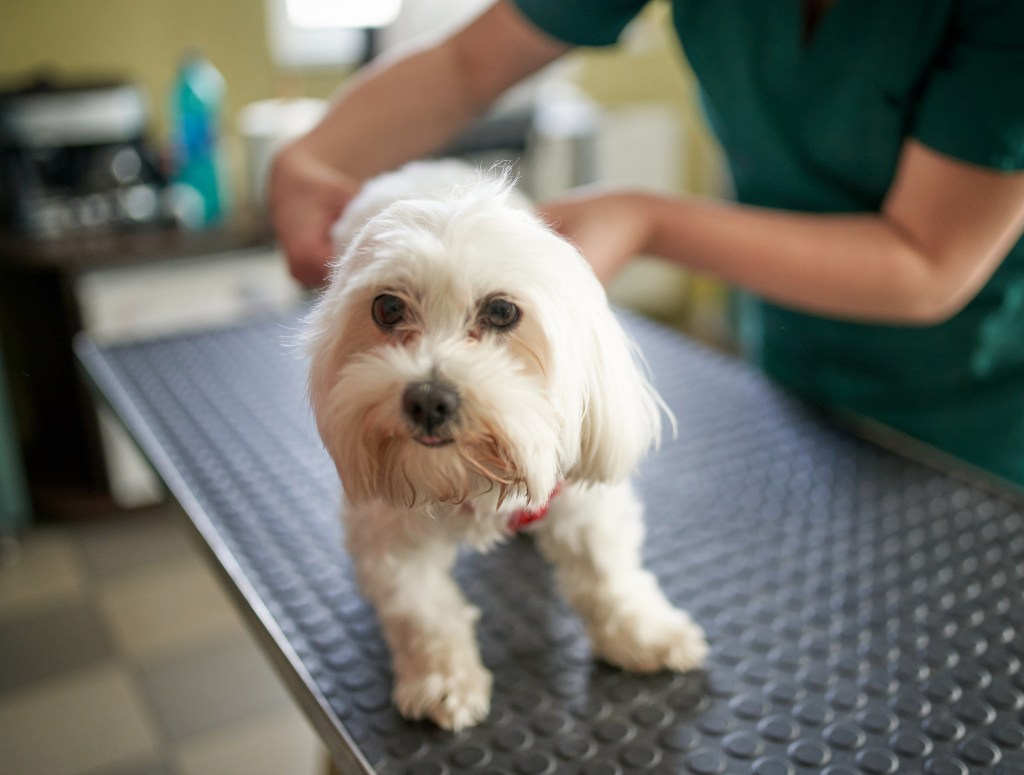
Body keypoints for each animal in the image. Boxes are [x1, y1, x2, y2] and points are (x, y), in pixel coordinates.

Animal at [299, 160, 708, 728]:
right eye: (387, 308)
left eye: (500, 312)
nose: (429, 399)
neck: (468, 478)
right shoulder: (388, 531)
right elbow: (422, 611)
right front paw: (442, 679)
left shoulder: (582, 497)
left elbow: (609, 573)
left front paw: (643, 634)